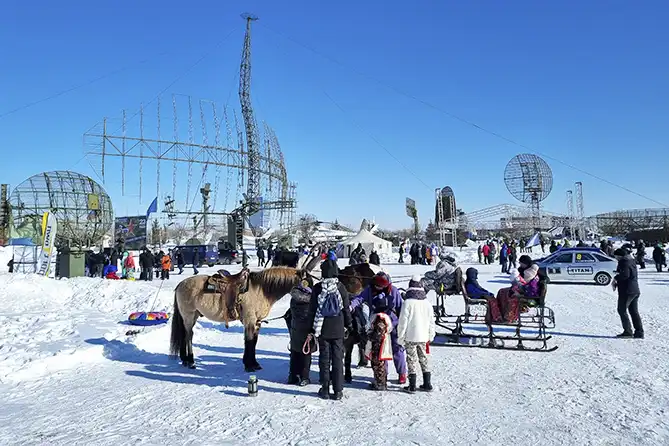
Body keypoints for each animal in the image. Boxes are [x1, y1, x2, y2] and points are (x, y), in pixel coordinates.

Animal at [170, 266, 306, 372]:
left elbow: (253, 342)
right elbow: (249, 342)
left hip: (192, 316)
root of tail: (180, 284)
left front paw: (254, 364)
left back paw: (185, 360)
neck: (261, 289)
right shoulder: (250, 321)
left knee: (184, 335)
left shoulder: (257, 322)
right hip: (188, 315)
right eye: (307, 281)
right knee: (188, 336)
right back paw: (191, 361)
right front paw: (249, 366)